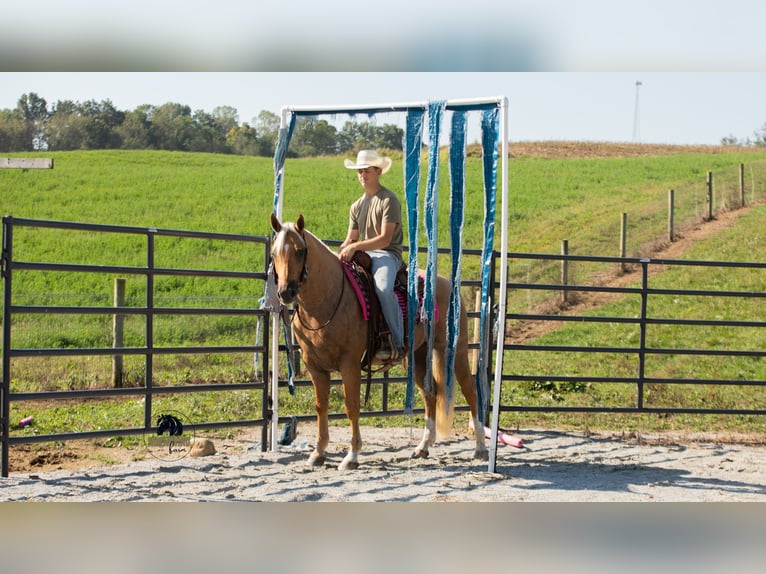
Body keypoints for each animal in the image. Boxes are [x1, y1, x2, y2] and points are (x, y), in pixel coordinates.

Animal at [269, 213, 487, 470]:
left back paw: (481, 448)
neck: (327, 299)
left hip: (455, 351)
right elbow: (321, 407)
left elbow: (352, 406)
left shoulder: (350, 364)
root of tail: (447, 286)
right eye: (273, 253)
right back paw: (423, 447)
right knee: (430, 393)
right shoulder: (314, 365)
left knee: (471, 391)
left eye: (300, 250)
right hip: (419, 355)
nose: (286, 292)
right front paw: (318, 452)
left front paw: (352, 456)